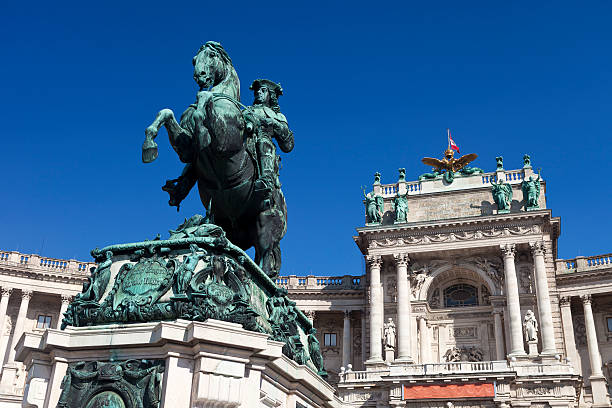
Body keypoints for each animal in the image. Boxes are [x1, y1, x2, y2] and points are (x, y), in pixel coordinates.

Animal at [142, 41, 290, 278]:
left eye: (211, 55)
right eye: (194, 59)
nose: (200, 76)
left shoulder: (225, 143)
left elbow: (206, 101)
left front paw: (202, 119)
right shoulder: (186, 148)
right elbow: (166, 113)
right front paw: (149, 145)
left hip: (266, 223)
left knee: (265, 261)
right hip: (228, 225)